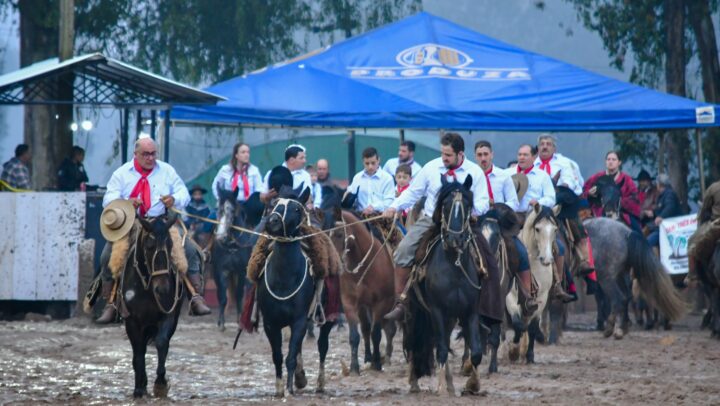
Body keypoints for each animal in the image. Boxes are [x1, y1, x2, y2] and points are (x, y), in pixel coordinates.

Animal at [121, 214, 184, 398]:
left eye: (170, 244)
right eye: (149, 246)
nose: (163, 288)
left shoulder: (169, 316)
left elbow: (162, 343)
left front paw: (160, 384)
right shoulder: (132, 321)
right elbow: (138, 352)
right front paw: (139, 388)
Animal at [211, 186, 258, 330]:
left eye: (232, 210)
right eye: (218, 208)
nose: (220, 236)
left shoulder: (241, 271)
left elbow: (239, 294)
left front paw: (239, 321)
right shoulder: (220, 270)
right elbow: (222, 296)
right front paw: (221, 323)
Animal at [258, 186, 338, 394]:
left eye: (295, 209)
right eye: (273, 205)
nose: (272, 222)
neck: (284, 279)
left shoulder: (300, 320)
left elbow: (291, 356)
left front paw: (289, 388)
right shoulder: (270, 322)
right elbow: (278, 356)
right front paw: (280, 388)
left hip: (327, 318)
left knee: (322, 346)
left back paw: (319, 383)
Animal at [404, 175, 484, 396]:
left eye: (467, 205)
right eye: (446, 205)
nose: (455, 238)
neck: (454, 266)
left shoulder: (470, 311)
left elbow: (476, 351)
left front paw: (473, 384)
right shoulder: (437, 310)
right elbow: (440, 349)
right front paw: (439, 388)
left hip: (450, 317)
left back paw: (450, 384)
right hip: (417, 310)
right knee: (416, 340)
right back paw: (415, 381)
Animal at [504, 205, 560, 364]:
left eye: (555, 229)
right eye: (537, 229)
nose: (547, 259)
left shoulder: (541, 298)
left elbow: (532, 327)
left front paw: (529, 355)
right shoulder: (510, 297)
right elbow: (517, 323)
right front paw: (513, 351)